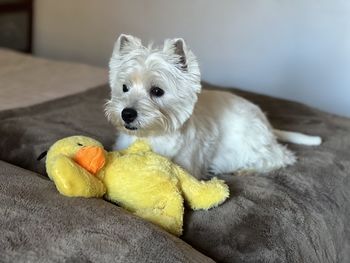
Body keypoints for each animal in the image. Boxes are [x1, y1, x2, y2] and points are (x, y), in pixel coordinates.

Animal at [104, 34, 322, 179]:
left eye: (157, 91)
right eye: (124, 87)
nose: (127, 114)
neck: (152, 136)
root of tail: (267, 123)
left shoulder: (187, 166)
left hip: (252, 142)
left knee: (280, 157)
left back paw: (242, 169)